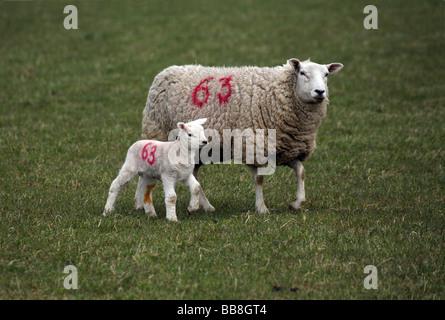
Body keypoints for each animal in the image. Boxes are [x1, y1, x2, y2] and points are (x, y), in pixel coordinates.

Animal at [139, 59, 344, 215]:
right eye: (302, 73)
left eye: (326, 74)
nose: (320, 92)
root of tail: (165, 72)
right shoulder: (253, 147)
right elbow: (259, 179)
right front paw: (262, 208)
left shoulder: (285, 148)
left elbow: (301, 172)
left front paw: (297, 202)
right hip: (158, 133)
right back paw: (143, 204)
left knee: (194, 174)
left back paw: (205, 206)